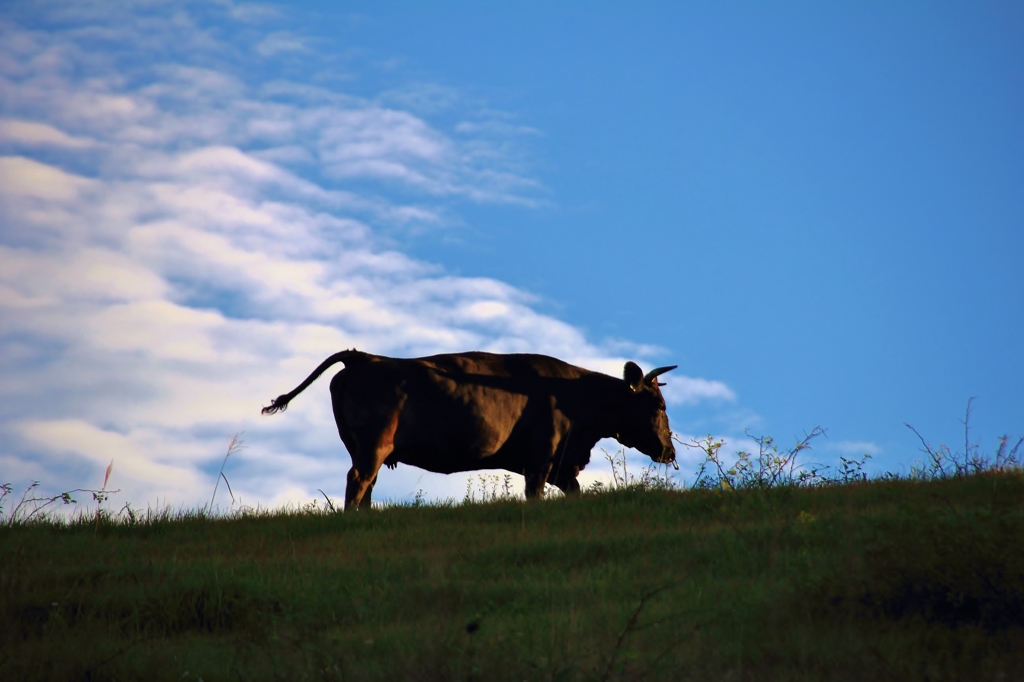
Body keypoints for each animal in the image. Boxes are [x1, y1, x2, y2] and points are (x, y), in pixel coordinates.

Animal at [262, 348, 679, 507]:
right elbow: (534, 494)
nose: (670, 452)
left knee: (367, 485)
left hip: (364, 449)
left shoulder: (561, 466)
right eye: (659, 405)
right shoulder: (541, 459)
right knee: (358, 481)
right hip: (371, 447)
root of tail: (363, 357)